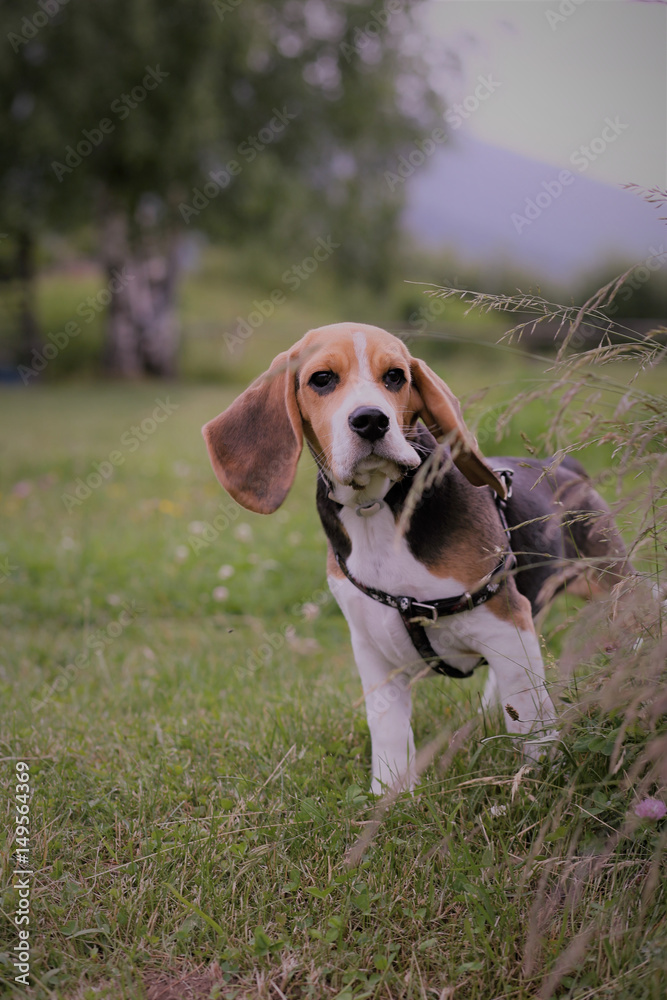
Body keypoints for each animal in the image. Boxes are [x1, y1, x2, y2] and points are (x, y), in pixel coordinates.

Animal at [204, 324, 632, 792]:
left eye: (395, 376)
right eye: (322, 379)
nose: (371, 420)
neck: (376, 507)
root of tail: (566, 466)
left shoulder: (505, 620)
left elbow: (531, 719)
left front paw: (538, 779)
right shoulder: (371, 647)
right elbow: (388, 728)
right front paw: (389, 794)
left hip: (614, 588)